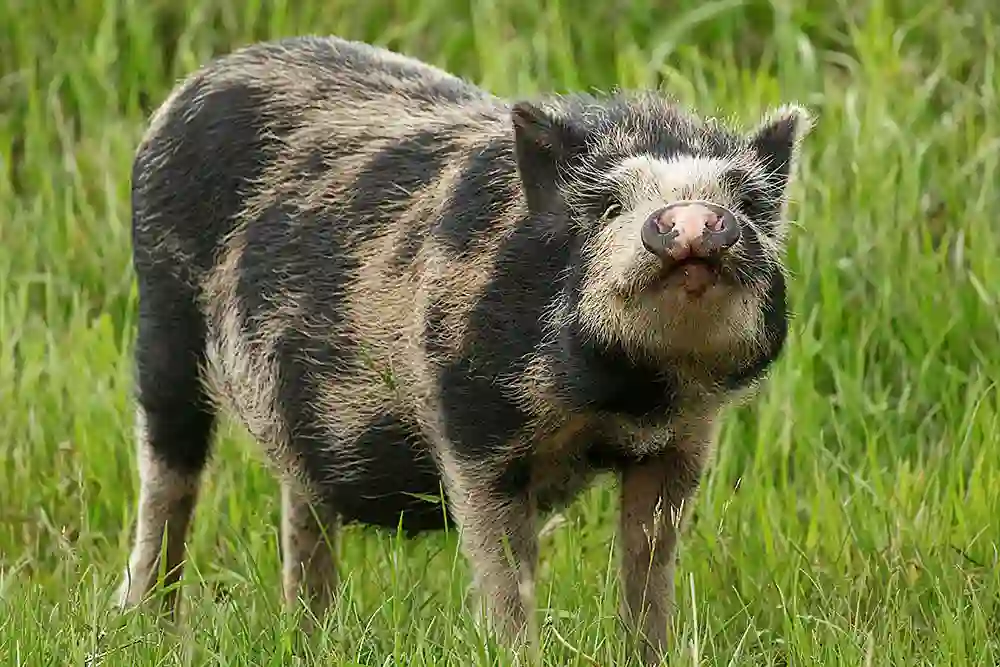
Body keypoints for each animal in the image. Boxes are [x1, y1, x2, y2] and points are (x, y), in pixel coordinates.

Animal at [115, 34, 811, 663]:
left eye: (747, 202)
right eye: (609, 205)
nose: (693, 218)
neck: (626, 395)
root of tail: (194, 86)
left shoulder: (681, 440)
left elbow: (649, 569)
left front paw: (648, 654)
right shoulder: (472, 427)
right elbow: (506, 575)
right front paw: (517, 653)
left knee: (303, 507)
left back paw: (307, 638)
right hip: (163, 312)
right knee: (168, 475)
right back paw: (146, 627)